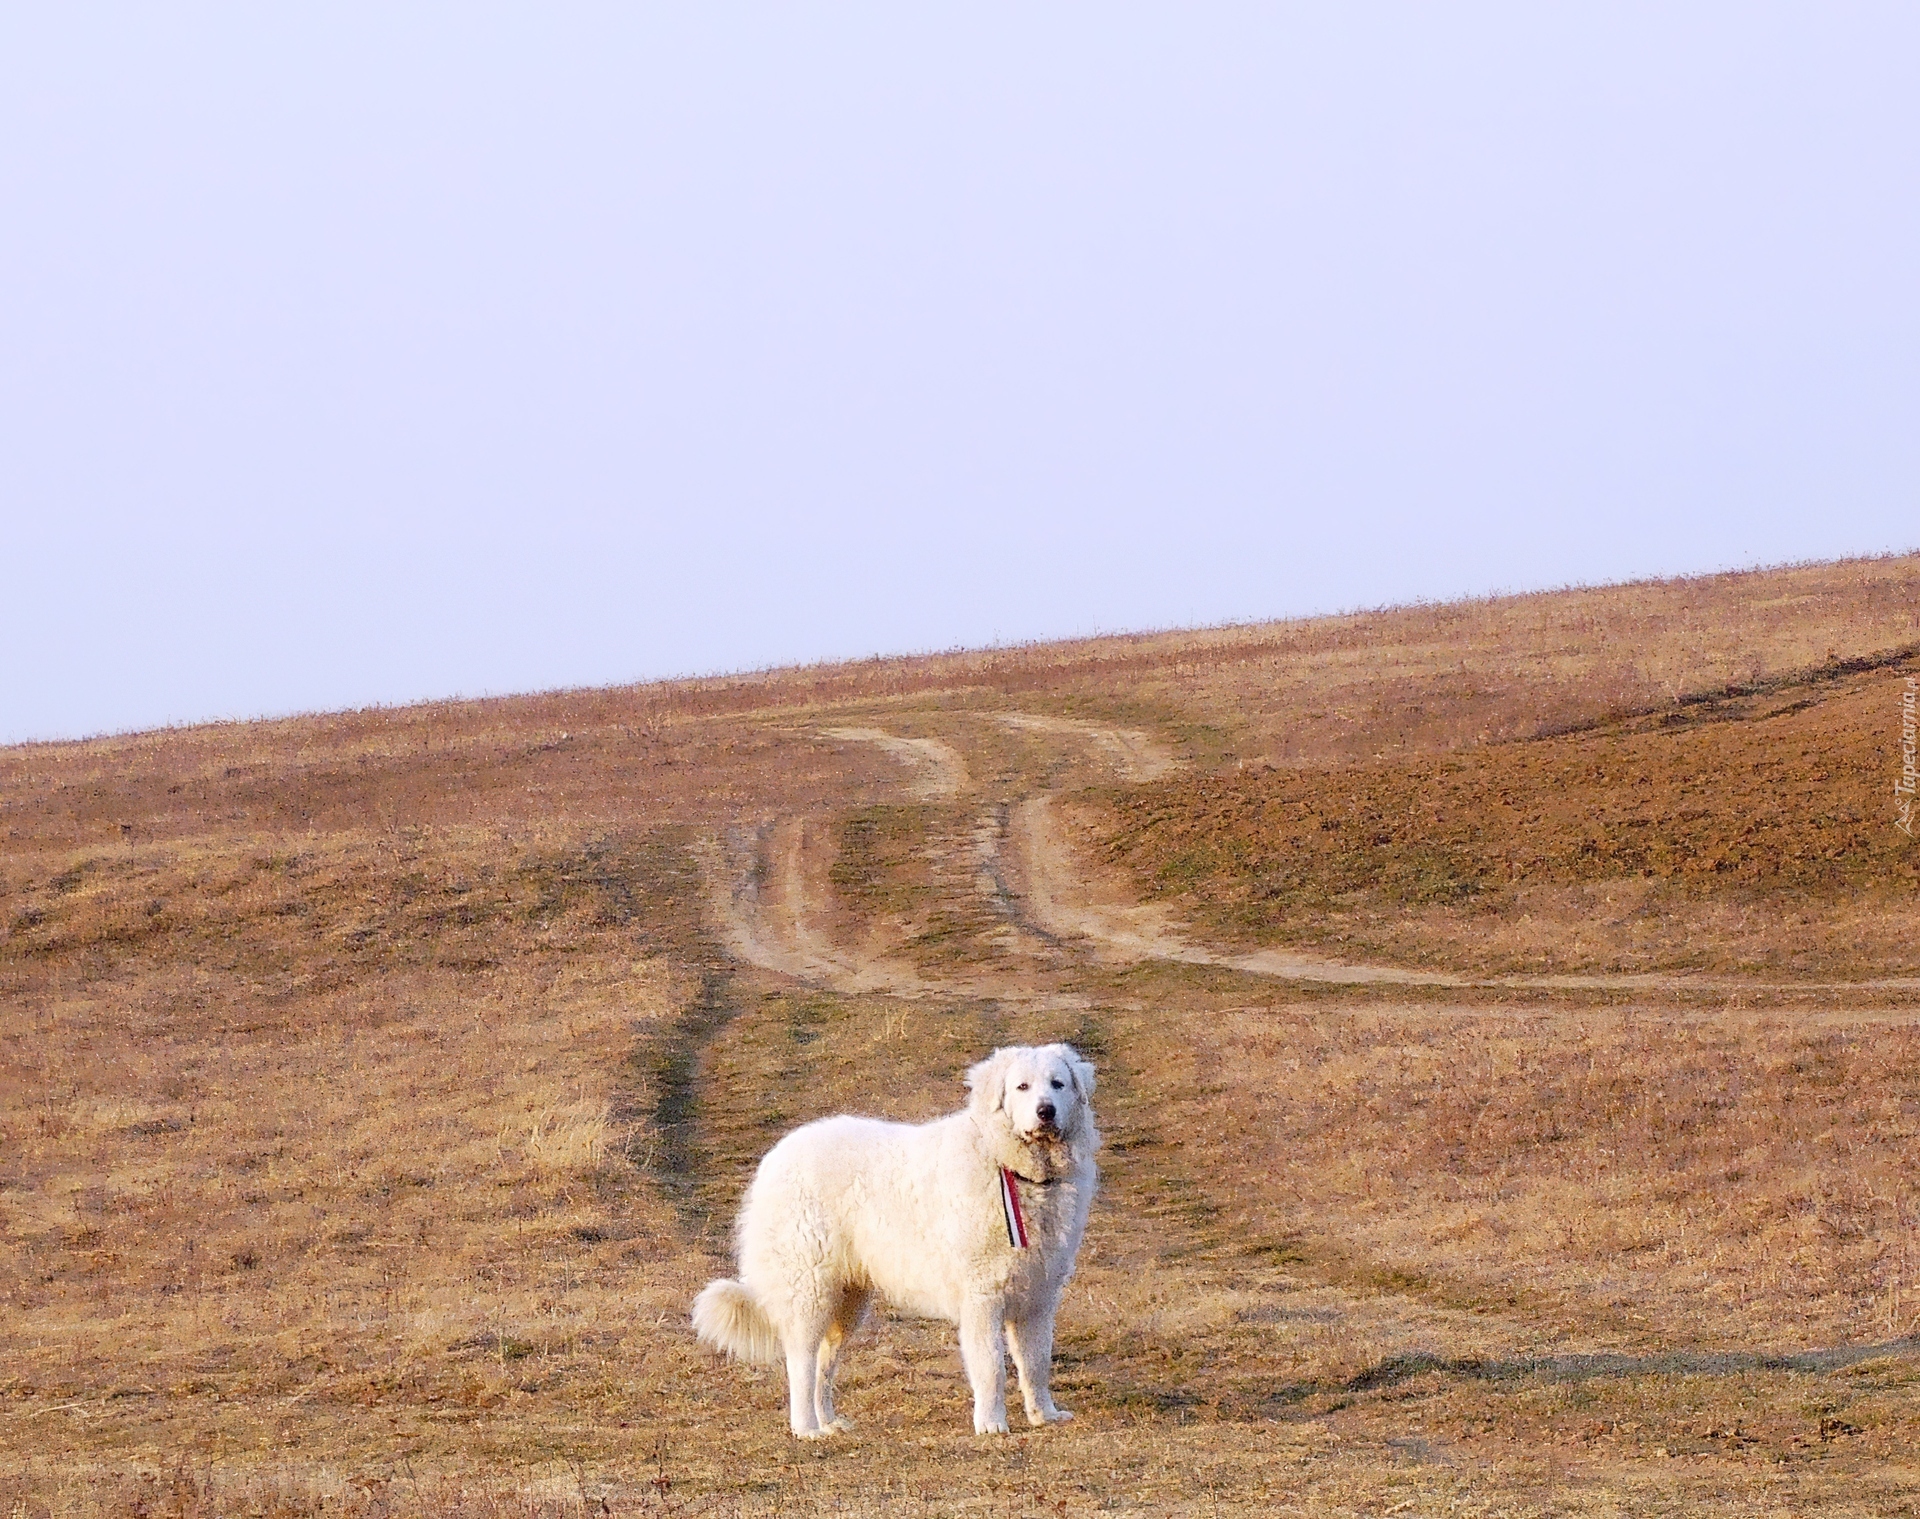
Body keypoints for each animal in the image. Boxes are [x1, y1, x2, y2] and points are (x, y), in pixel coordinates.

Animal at [698, 1044, 1105, 1436]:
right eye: (1022, 1087)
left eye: (1057, 1084)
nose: (1045, 1112)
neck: (1010, 1167)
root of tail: (776, 1156)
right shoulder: (982, 1298)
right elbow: (992, 1367)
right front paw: (991, 1424)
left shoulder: (1038, 1297)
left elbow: (1036, 1364)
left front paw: (1044, 1415)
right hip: (808, 1291)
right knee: (800, 1362)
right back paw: (806, 1428)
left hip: (846, 1304)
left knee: (822, 1368)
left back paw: (829, 1423)